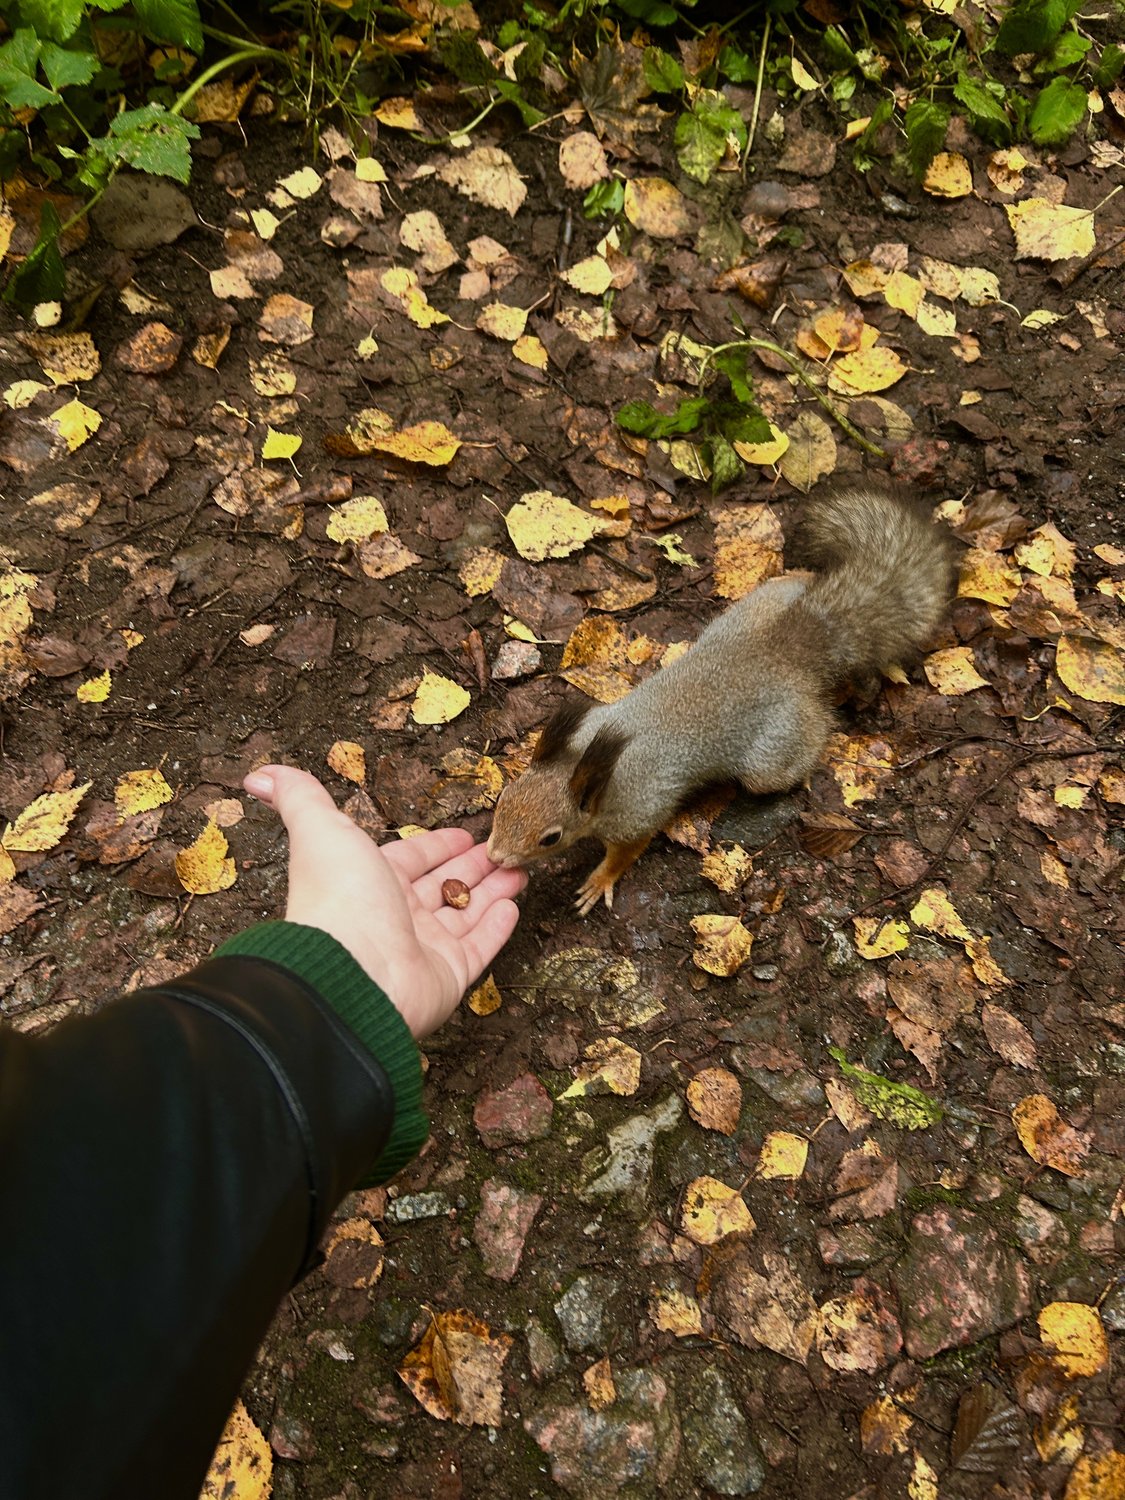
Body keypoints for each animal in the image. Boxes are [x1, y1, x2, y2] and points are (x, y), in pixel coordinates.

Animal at [489, 486, 954, 918]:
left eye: (550, 838)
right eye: (503, 799)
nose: (494, 857)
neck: (588, 761)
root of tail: (790, 651)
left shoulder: (638, 810)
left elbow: (627, 851)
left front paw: (599, 880)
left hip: (774, 750)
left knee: (804, 743)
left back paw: (806, 767)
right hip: (755, 609)